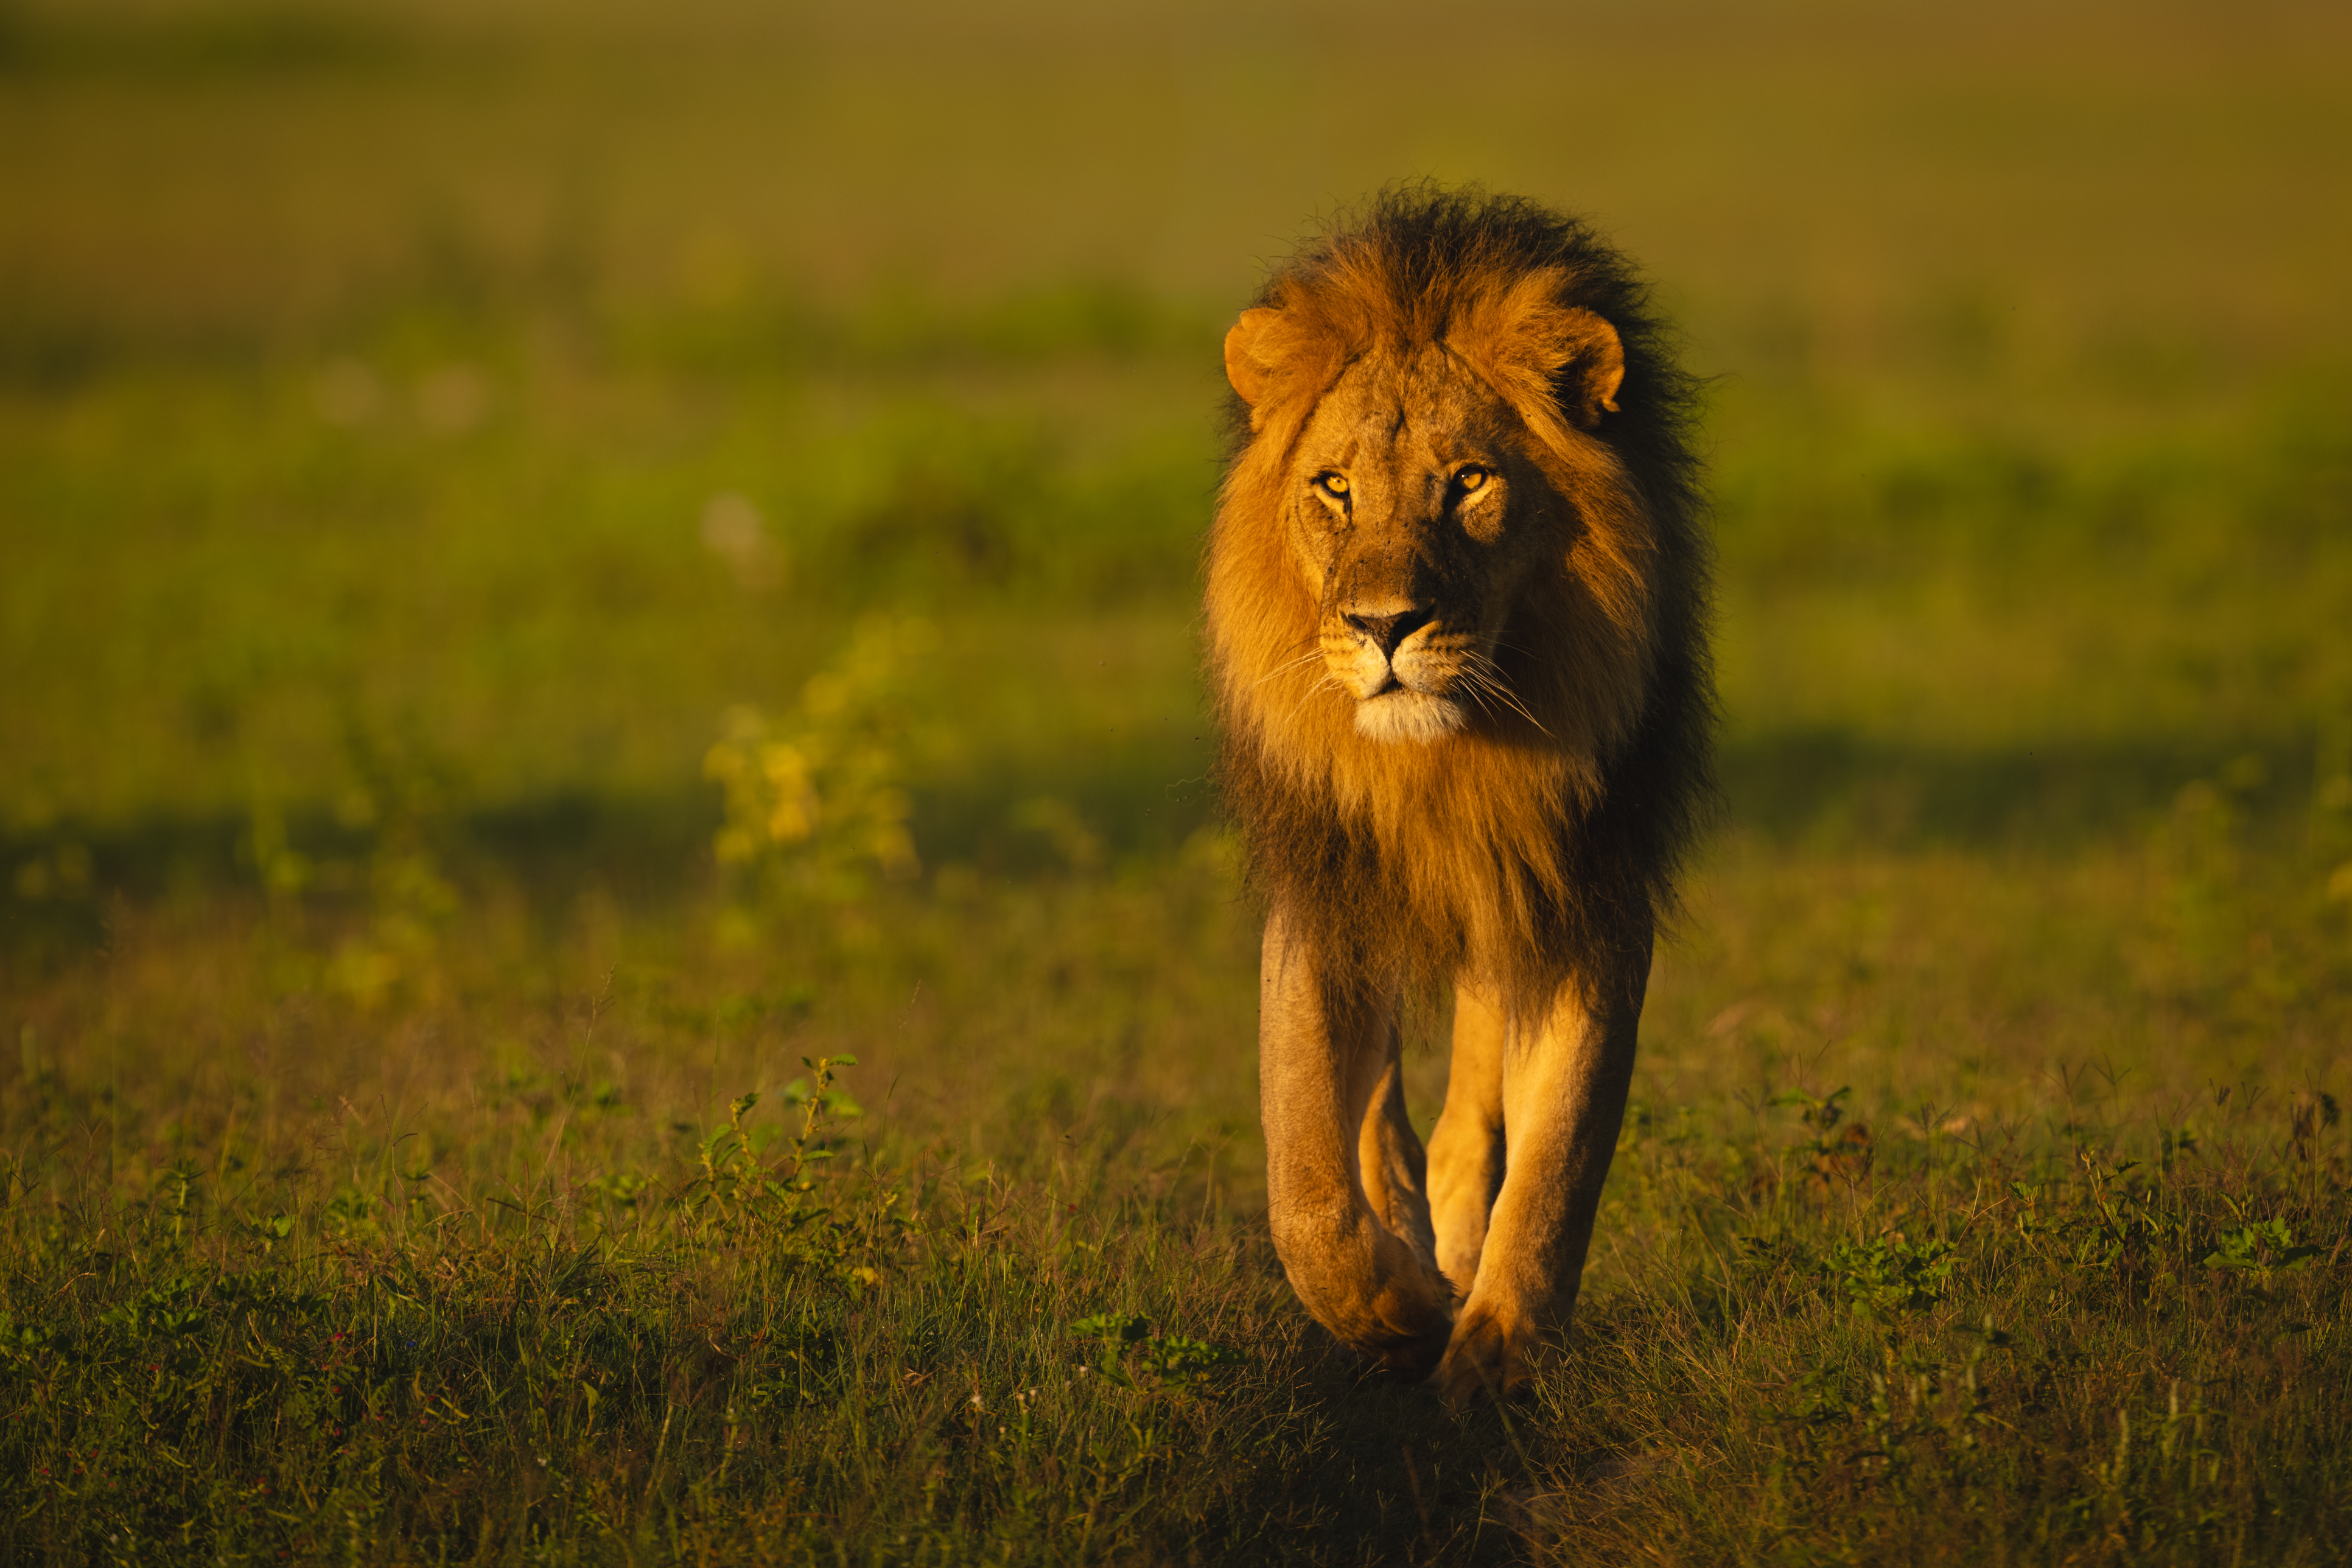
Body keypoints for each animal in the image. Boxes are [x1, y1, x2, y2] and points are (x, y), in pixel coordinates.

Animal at [1205, 187, 1714, 1408]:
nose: (1383, 627)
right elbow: (1303, 1166)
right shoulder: (1326, 879)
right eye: (1334, 487)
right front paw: (1391, 1310)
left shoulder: (1585, 885)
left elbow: (1561, 1145)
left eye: (1470, 481)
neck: (1442, 765)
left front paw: (1497, 1346)